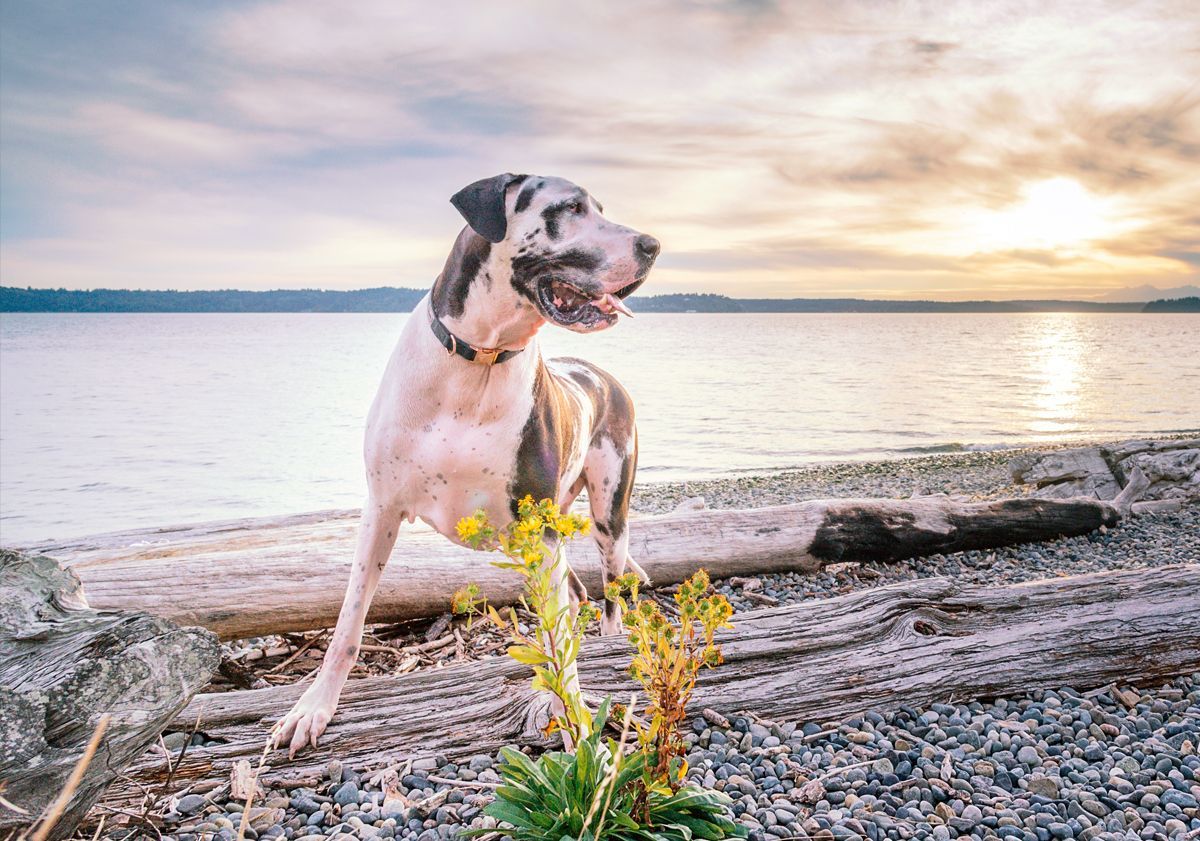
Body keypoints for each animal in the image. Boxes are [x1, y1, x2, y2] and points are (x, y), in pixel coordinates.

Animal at [273, 170, 662, 753]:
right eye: (571, 208)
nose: (653, 245)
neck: (478, 359)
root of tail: (602, 375)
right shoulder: (380, 509)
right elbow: (347, 625)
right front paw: (313, 707)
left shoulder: (538, 529)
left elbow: (557, 637)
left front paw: (571, 712)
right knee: (576, 595)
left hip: (608, 515)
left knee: (610, 598)